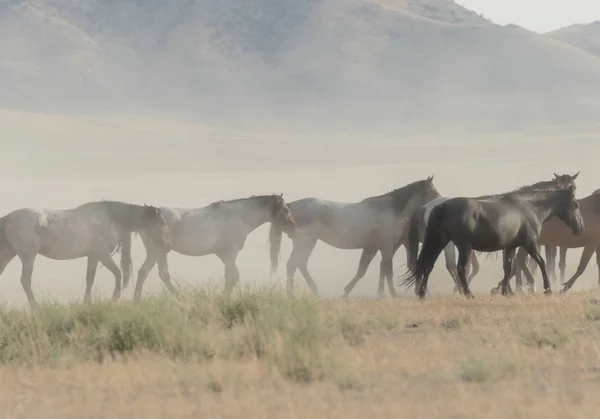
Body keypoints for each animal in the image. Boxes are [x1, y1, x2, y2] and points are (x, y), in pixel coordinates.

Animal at [0, 202, 172, 310]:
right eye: (162, 222)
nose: (167, 246)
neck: (110, 219)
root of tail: (7, 218)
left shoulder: (93, 256)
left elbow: (90, 279)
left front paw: (86, 302)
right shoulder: (102, 254)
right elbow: (117, 273)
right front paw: (115, 297)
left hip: (7, 255)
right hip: (28, 256)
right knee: (25, 281)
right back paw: (36, 308)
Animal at [133, 194, 298, 298]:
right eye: (285, 209)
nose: (295, 230)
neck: (239, 216)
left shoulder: (223, 254)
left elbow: (234, 276)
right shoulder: (231, 252)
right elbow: (230, 276)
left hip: (162, 253)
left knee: (163, 275)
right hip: (155, 251)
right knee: (143, 272)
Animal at [268, 176, 440, 298]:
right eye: (434, 192)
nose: (440, 204)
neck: (390, 210)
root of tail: (290, 207)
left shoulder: (372, 247)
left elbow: (363, 270)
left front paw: (349, 291)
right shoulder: (386, 247)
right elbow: (387, 270)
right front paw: (392, 293)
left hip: (308, 242)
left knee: (298, 264)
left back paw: (306, 291)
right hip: (305, 242)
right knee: (294, 263)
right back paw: (294, 293)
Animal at [400, 185, 584, 300]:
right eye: (575, 204)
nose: (581, 228)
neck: (530, 207)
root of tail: (440, 206)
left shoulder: (510, 247)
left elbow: (508, 267)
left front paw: (505, 291)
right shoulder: (530, 243)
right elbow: (541, 262)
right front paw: (547, 289)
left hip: (440, 242)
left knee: (427, 265)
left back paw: (422, 293)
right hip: (463, 247)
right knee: (460, 268)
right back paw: (468, 294)